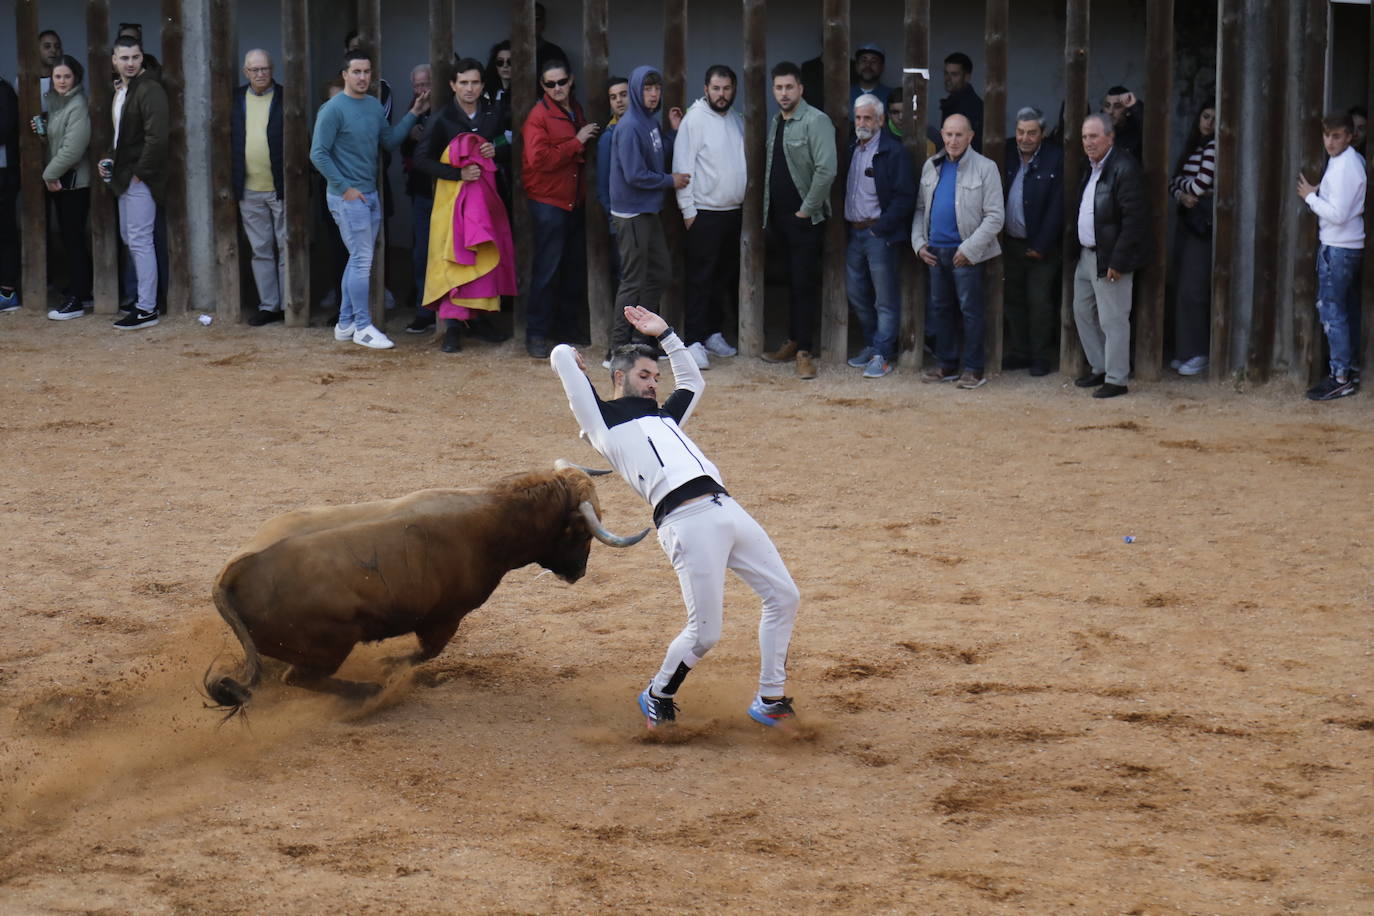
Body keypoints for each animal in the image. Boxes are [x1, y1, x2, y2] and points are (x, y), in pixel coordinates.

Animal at [203, 461, 643, 714]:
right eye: (582, 532)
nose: (578, 573)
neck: (494, 519)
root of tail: (234, 572)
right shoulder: (444, 618)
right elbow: (425, 653)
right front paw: (390, 669)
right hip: (332, 645)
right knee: (299, 679)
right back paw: (369, 691)